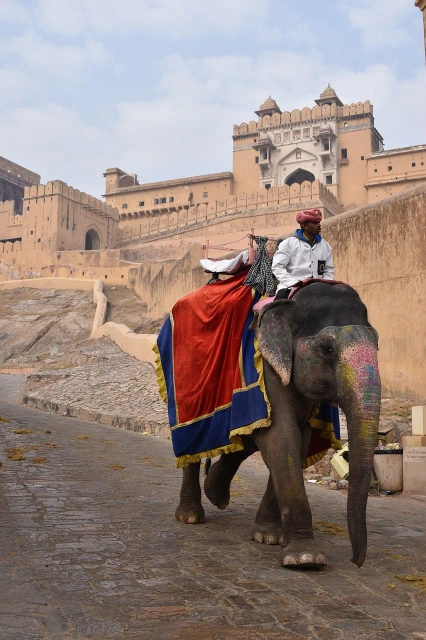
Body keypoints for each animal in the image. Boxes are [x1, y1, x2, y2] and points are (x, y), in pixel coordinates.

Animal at [174, 282, 381, 569]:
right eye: (327, 349)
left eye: (377, 342)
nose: (355, 561)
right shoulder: (267, 371)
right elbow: (281, 438)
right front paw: (305, 559)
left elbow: (296, 441)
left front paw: (268, 537)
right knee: (193, 442)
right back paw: (190, 516)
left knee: (243, 442)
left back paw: (217, 494)